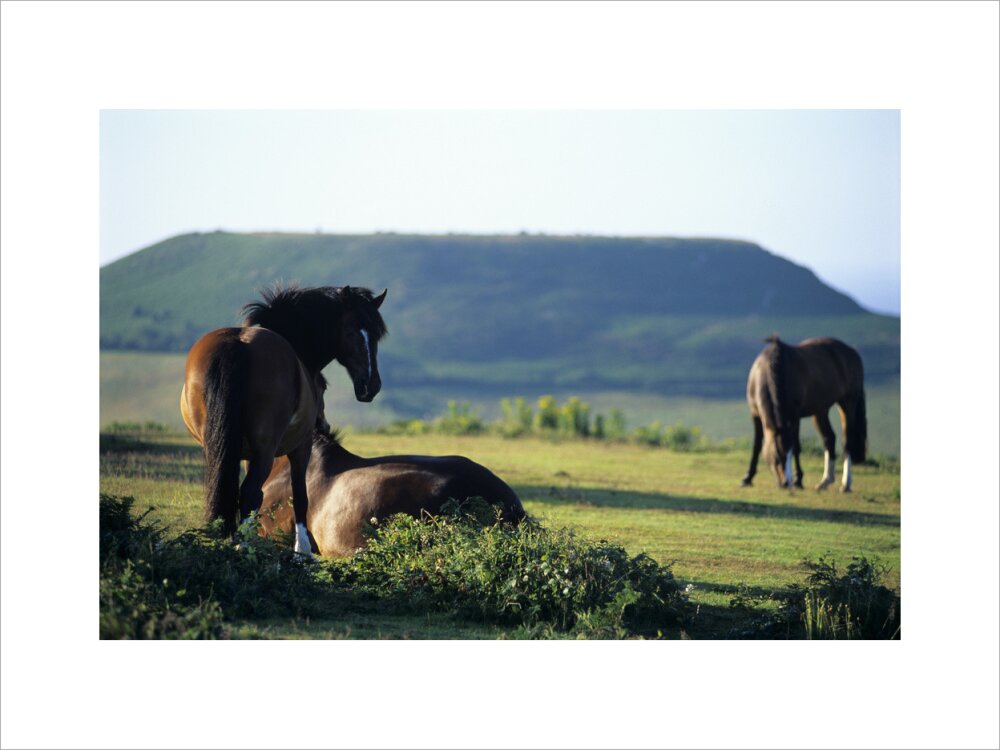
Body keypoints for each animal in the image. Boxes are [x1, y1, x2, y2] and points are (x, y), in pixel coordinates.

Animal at [180, 284, 387, 553]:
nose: (371, 386)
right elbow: (299, 495)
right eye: (351, 331)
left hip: (218, 447)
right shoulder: (301, 446)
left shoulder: (245, 455)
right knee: (248, 492)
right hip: (266, 449)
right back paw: (245, 548)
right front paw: (303, 550)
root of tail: (239, 345)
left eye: (375, 336)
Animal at [741, 336, 867, 492]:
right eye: (777, 456)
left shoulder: (794, 417)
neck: (773, 369)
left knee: (847, 441)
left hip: (848, 402)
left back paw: (845, 484)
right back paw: (825, 481)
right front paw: (747, 478)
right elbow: (757, 445)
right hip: (820, 410)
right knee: (829, 438)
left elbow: (796, 447)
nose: (785, 483)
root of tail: (852, 352)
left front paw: (798, 480)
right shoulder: (756, 415)